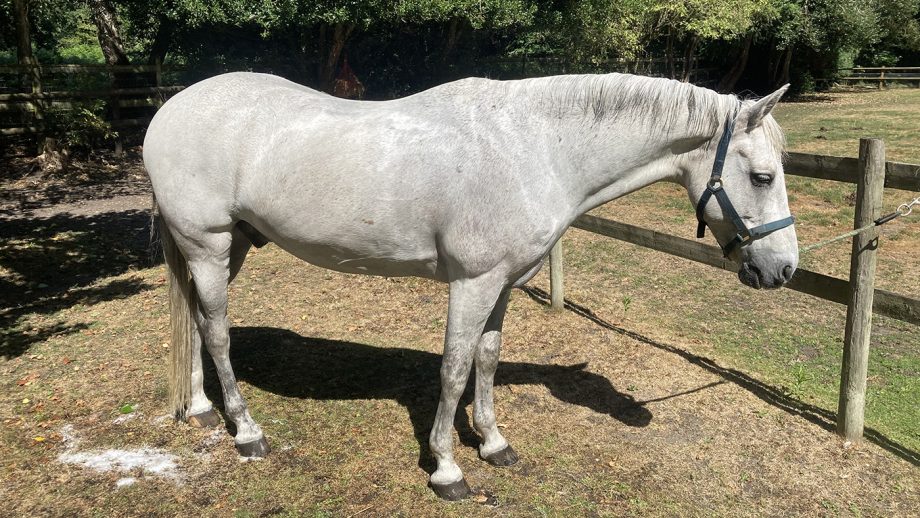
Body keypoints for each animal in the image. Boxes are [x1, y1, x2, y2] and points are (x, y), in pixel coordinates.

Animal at [143, 72, 797, 500]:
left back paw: (201, 409)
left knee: (198, 322)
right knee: (219, 332)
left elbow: (486, 359)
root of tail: (170, 110)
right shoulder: (472, 283)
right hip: (208, 244)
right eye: (763, 176)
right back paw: (247, 433)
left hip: (230, 247)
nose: (783, 270)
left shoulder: (502, 285)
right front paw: (447, 469)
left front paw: (493, 443)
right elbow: (454, 369)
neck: (535, 148)